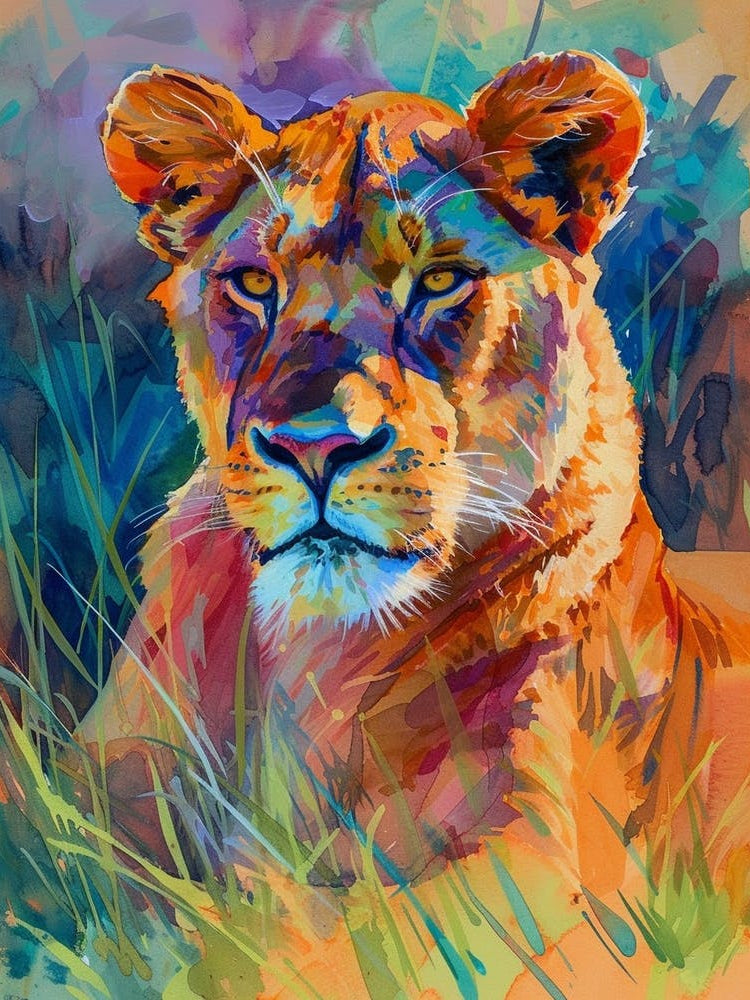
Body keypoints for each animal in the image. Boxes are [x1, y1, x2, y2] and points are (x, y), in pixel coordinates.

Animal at [72, 50, 750, 993]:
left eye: (438, 281)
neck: (315, 666)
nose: (315, 445)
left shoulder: (564, 879)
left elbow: (358, 942)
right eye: (254, 284)